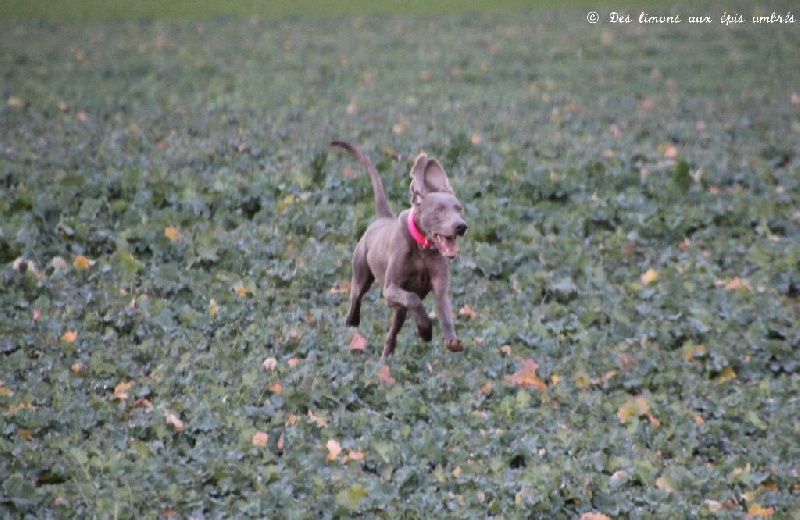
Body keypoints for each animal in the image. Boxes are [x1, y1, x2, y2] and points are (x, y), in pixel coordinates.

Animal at [332, 140, 468, 356]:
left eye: (458, 209)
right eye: (438, 210)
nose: (461, 226)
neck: (422, 248)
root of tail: (382, 219)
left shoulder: (440, 288)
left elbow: (444, 309)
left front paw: (451, 340)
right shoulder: (390, 290)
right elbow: (413, 299)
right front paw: (425, 330)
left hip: (397, 310)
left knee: (393, 331)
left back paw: (387, 354)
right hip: (361, 275)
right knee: (356, 299)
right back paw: (351, 322)